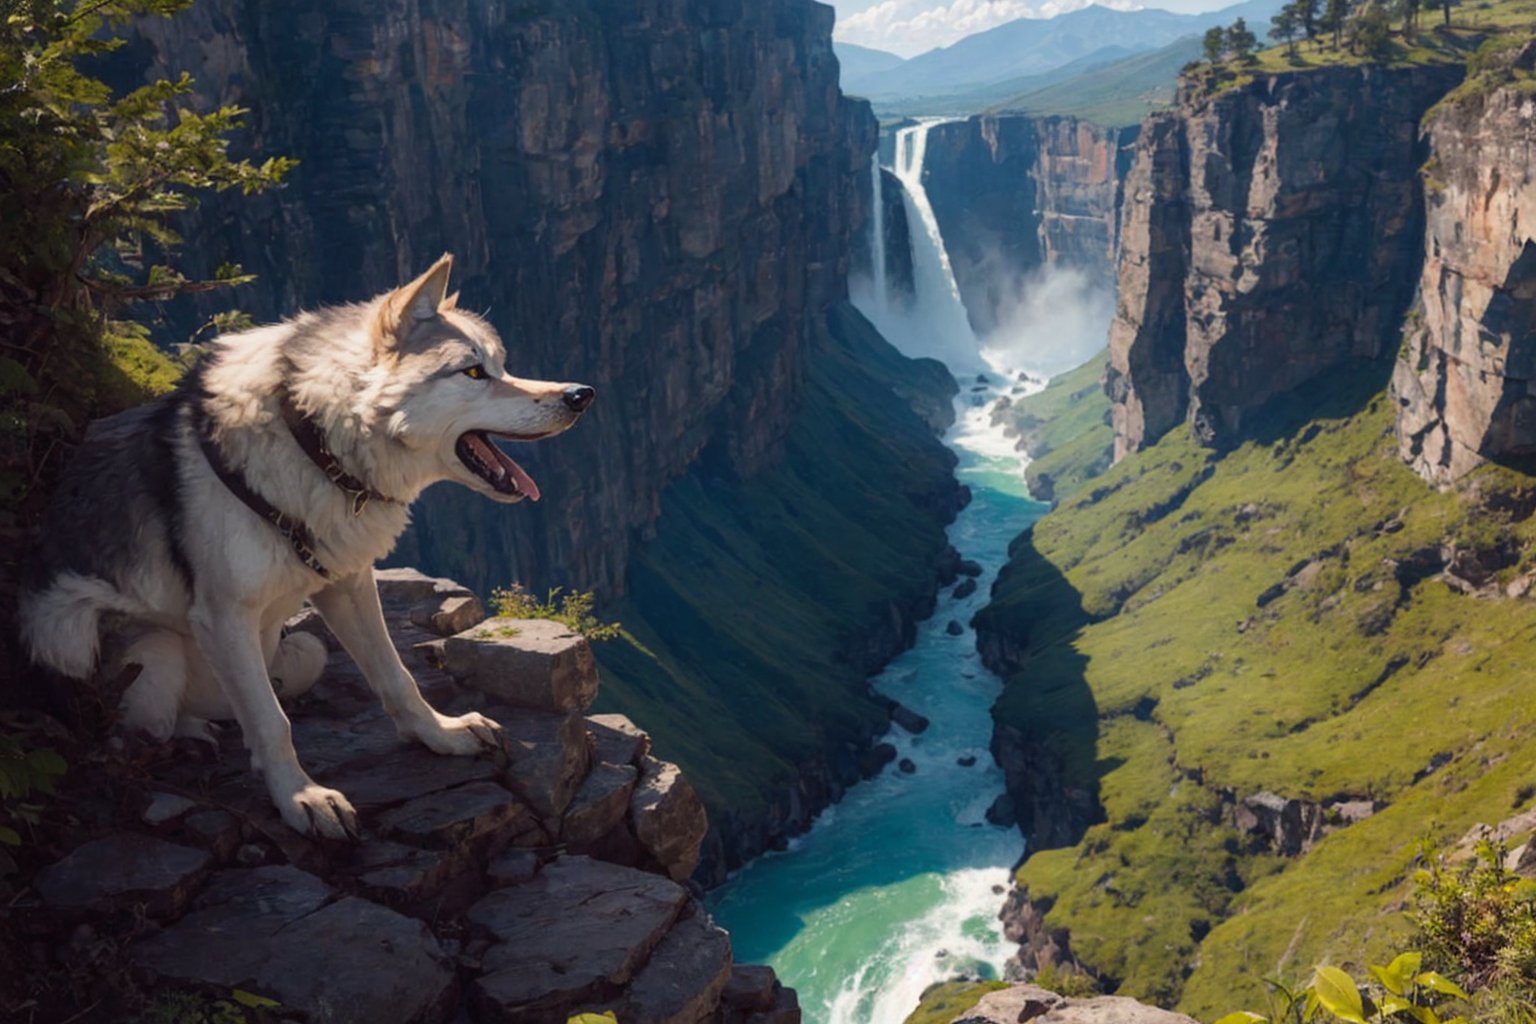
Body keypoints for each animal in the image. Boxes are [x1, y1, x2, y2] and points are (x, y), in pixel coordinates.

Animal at [18, 256, 592, 841]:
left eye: (502, 364)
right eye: (474, 372)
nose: (580, 395)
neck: (314, 441)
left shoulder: (348, 582)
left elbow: (396, 675)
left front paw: (442, 734)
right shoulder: (224, 614)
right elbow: (273, 722)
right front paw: (302, 798)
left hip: (302, 649)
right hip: (107, 639)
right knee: (145, 724)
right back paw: (191, 733)